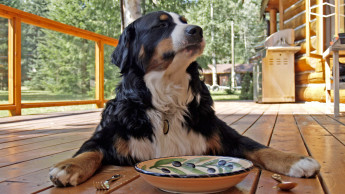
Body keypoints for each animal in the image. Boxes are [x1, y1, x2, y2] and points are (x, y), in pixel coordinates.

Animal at [48, 11, 320, 187]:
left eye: (185, 22)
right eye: (160, 26)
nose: (197, 30)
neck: (166, 99)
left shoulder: (222, 133)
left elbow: (258, 147)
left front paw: (295, 160)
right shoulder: (107, 134)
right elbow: (89, 151)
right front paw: (68, 166)